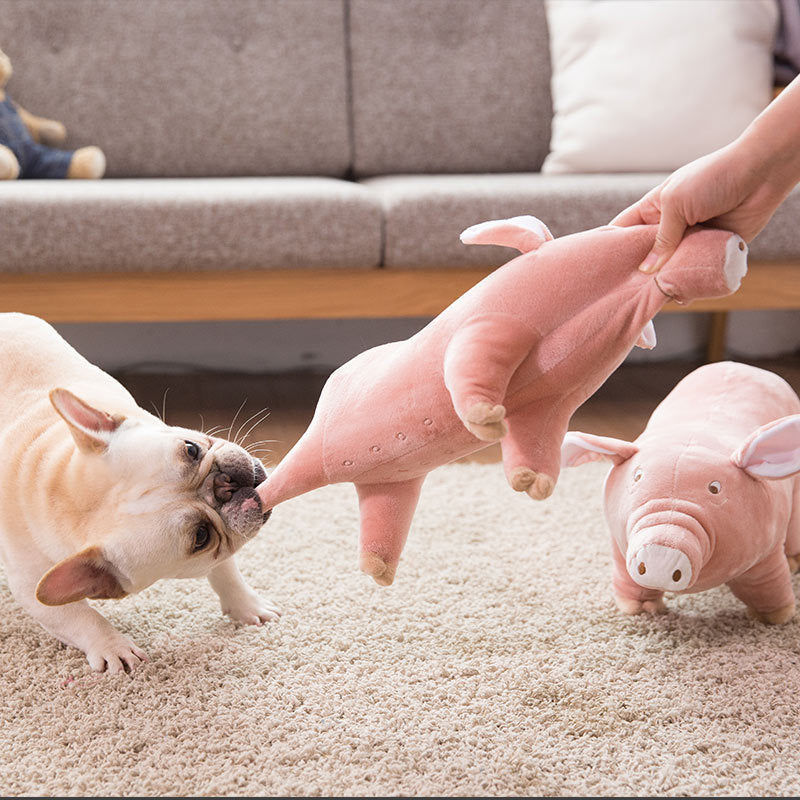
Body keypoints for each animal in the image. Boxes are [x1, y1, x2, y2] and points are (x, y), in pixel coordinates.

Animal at [0, 310, 282, 672]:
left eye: (191, 449)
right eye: (200, 537)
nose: (226, 486)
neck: (57, 485)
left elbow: (226, 570)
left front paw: (246, 604)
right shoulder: (30, 585)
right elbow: (78, 618)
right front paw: (113, 646)